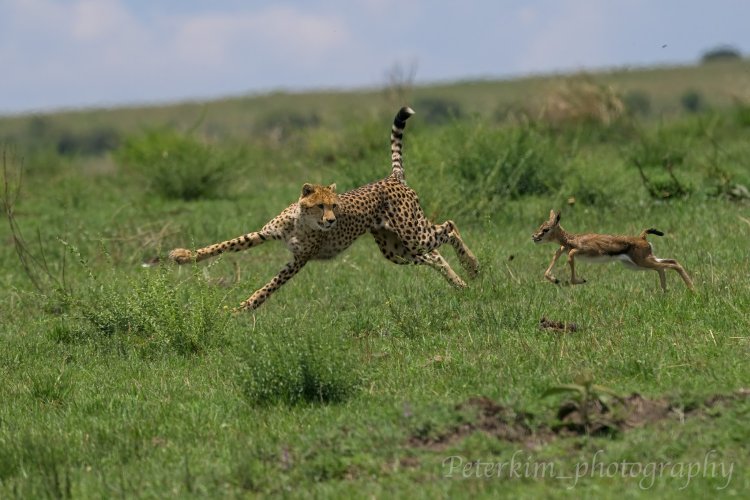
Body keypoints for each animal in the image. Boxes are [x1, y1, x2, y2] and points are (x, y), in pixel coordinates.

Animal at [169, 107, 482, 308]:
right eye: (320, 205)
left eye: (335, 206)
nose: (331, 221)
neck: (302, 223)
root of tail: (392, 178)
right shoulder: (263, 235)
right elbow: (224, 245)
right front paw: (183, 255)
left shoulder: (299, 260)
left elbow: (269, 286)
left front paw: (243, 307)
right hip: (397, 249)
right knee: (434, 255)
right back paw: (461, 285)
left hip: (412, 234)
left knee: (449, 227)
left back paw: (472, 267)